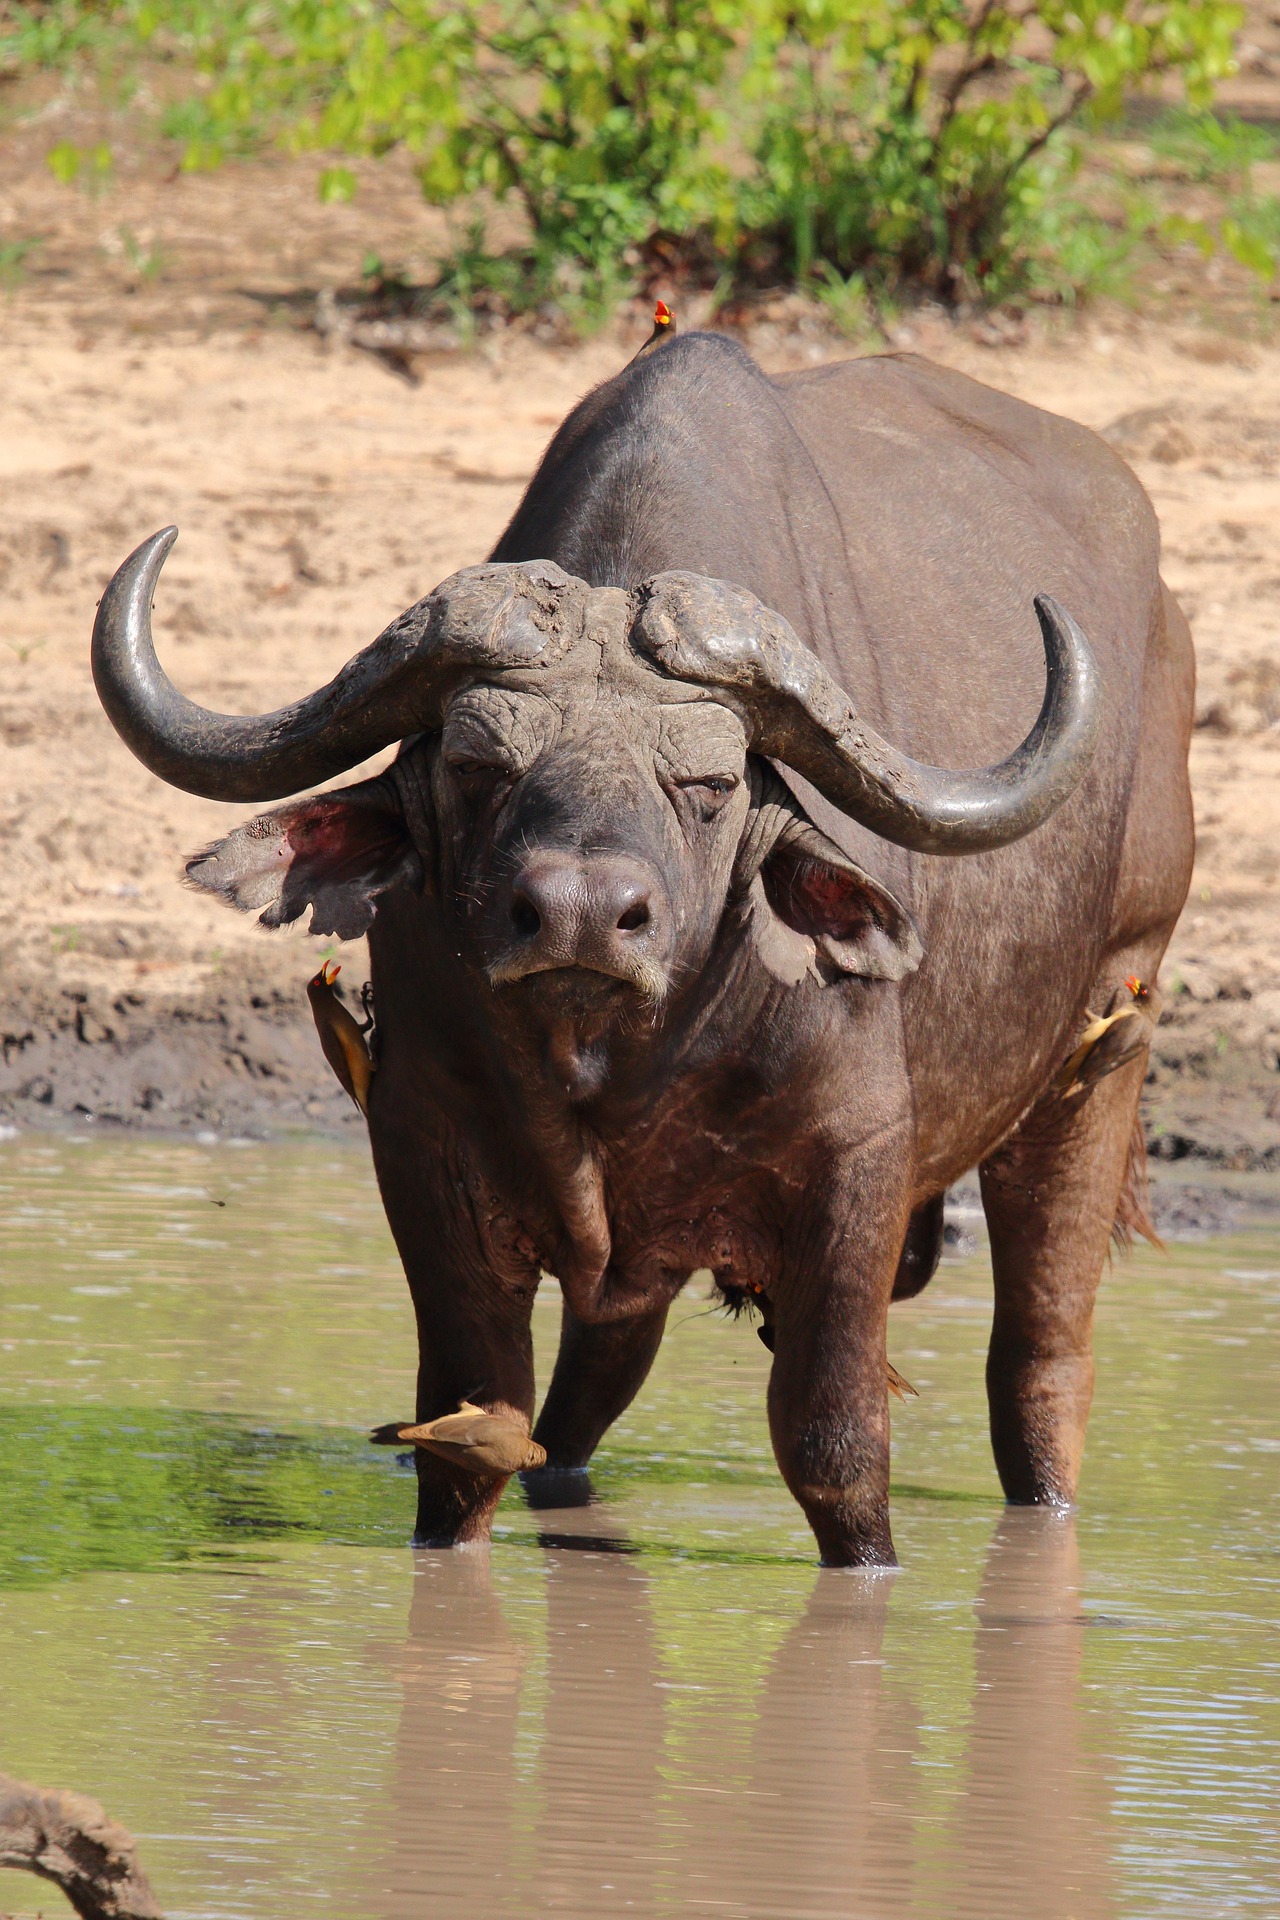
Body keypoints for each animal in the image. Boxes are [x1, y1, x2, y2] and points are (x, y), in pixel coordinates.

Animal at [92, 333, 1193, 1565]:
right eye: (476, 764)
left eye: (708, 782)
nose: (578, 913)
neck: (619, 1061)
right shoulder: (422, 1145)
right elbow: (469, 1428)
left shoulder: (856, 1167)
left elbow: (835, 1443)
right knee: (586, 1395)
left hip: (1108, 1038)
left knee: (1040, 1361)